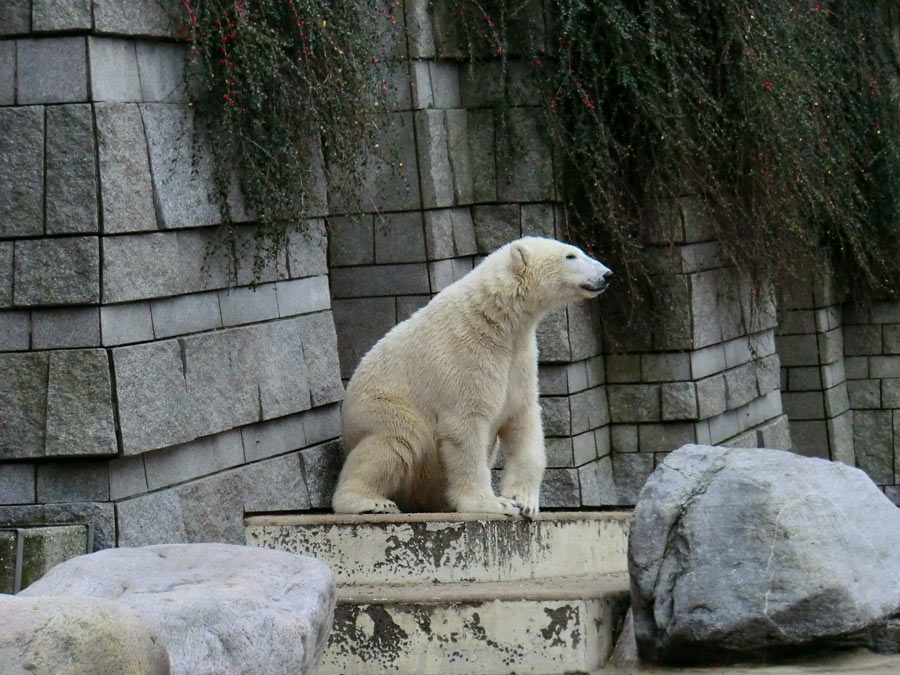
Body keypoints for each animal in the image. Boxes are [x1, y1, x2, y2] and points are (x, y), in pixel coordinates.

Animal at [330, 236, 612, 516]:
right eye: (570, 256)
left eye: (577, 251)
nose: (607, 274)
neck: (495, 317)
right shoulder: (466, 354)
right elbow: (465, 427)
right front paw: (494, 504)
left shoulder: (519, 359)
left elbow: (522, 418)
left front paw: (523, 501)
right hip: (383, 406)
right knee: (399, 440)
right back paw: (371, 501)